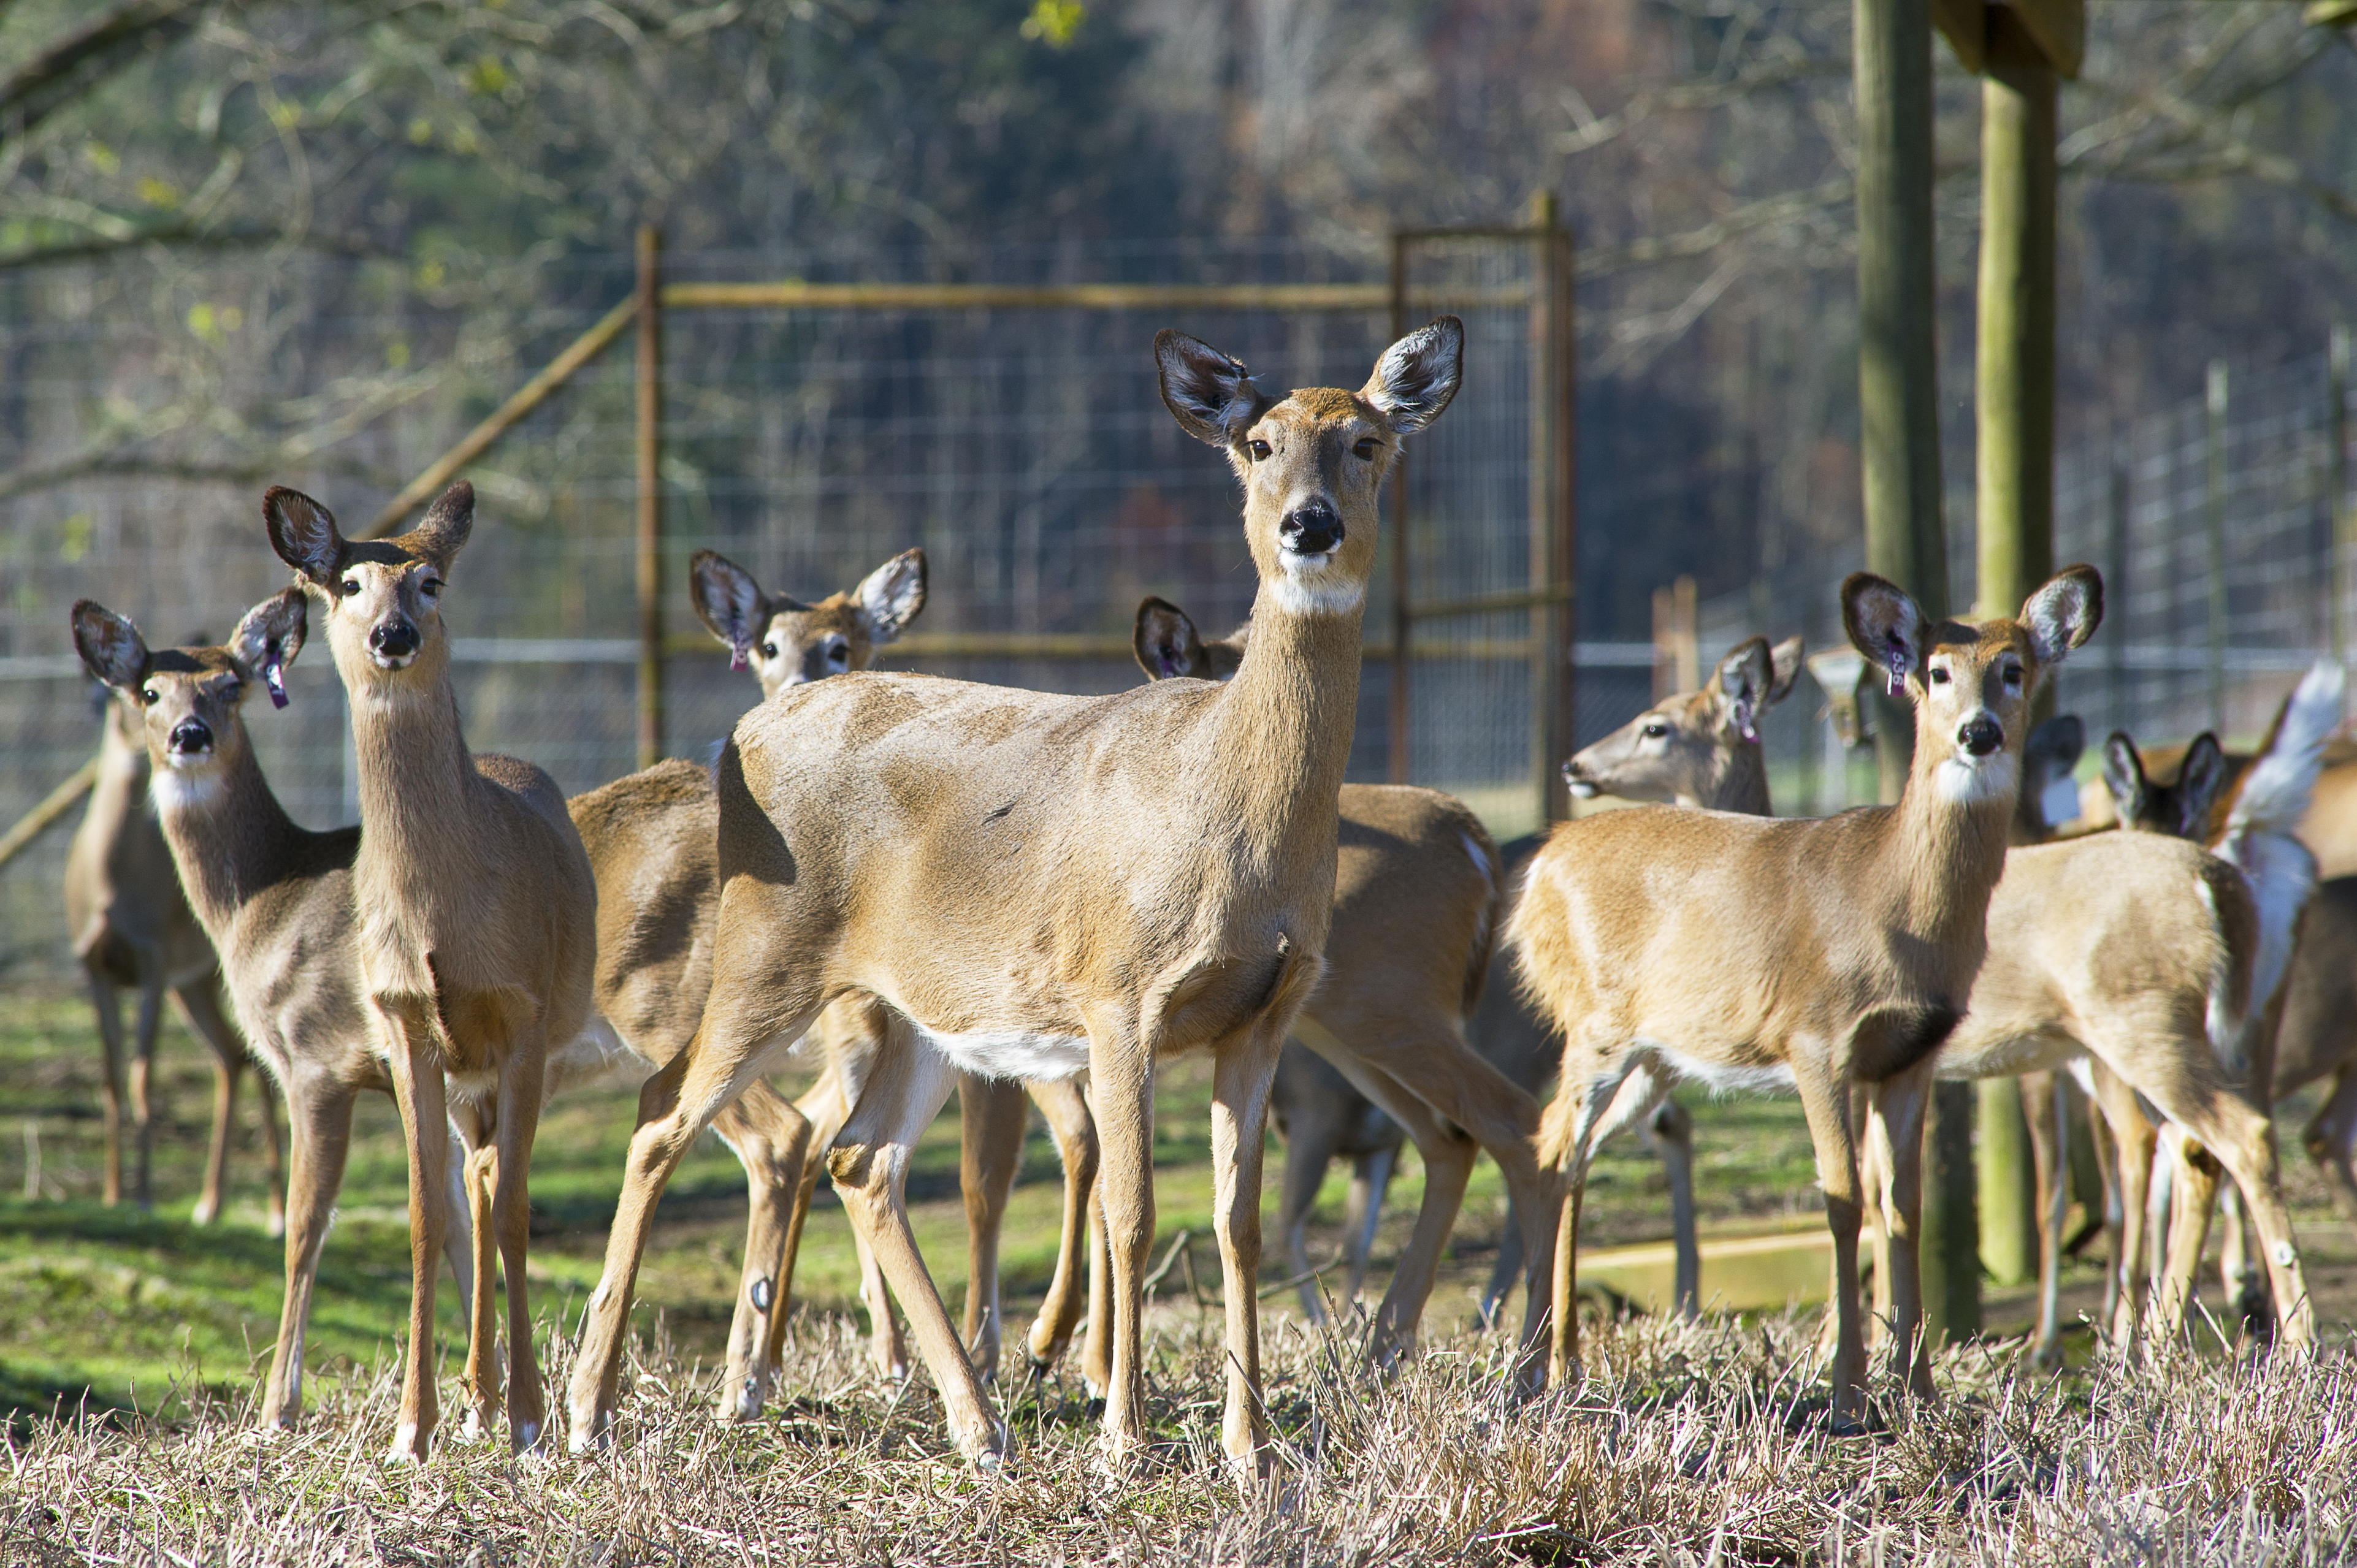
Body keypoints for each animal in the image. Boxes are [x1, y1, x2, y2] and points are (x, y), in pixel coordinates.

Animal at [63, 666, 280, 1229]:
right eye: (124, 702)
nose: (158, 747)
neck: (111, 888)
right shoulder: (92, 965)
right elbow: (112, 1077)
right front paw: (111, 1194)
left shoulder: (154, 961)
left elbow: (144, 1074)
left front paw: (143, 1196)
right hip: (197, 982)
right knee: (232, 1057)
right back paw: (210, 1203)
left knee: (256, 1060)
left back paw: (271, 1211)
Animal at [264, 480, 599, 1460]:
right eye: (348, 582)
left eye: (431, 580)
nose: (394, 633)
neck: (445, 915)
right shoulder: (406, 1020)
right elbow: (423, 1215)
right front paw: (414, 1428)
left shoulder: (525, 1015)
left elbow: (519, 1208)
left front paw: (531, 1416)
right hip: (458, 1069)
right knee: (471, 1182)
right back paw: (474, 1396)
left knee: (491, 1182)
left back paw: (500, 1401)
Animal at [1129, 596, 1543, 1348]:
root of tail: (1475, 842)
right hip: (1349, 1029)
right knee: (1448, 1139)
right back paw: (1386, 1343)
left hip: (1390, 1006)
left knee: (1511, 1121)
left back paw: (1528, 1355)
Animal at [1510, 566, 2102, 1425]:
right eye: (1936, 672)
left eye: (2014, 668)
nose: (1979, 732)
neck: (1893, 900)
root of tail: (1539, 866)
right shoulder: (1815, 1039)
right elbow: (1842, 1197)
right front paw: (1848, 1391)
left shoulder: (1911, 1056)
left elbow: (1904, 1205)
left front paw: (1918, 1388)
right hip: (1592, 1023)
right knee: (1553, 1145)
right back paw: (1532, 1368)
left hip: (1653, 1054)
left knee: (1571, 1151)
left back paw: (1562, 1362)